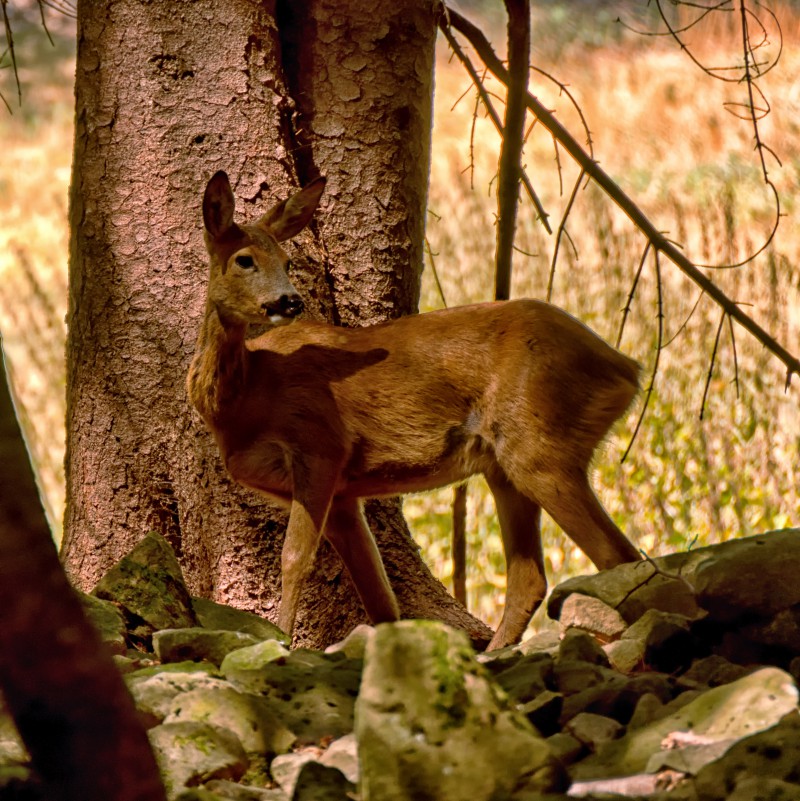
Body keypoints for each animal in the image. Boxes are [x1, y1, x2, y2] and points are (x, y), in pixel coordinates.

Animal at [188, 170, 644, 648]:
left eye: (288, 261)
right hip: (505, 464)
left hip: (541, 441)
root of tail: (626, 367)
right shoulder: (343, 494)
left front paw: (280, 640)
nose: (289, 300)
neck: (245, 396)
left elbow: (294, 557)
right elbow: (378, 594)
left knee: (617, 555)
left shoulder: (319, 445)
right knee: (531, 577)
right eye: (244, 259)